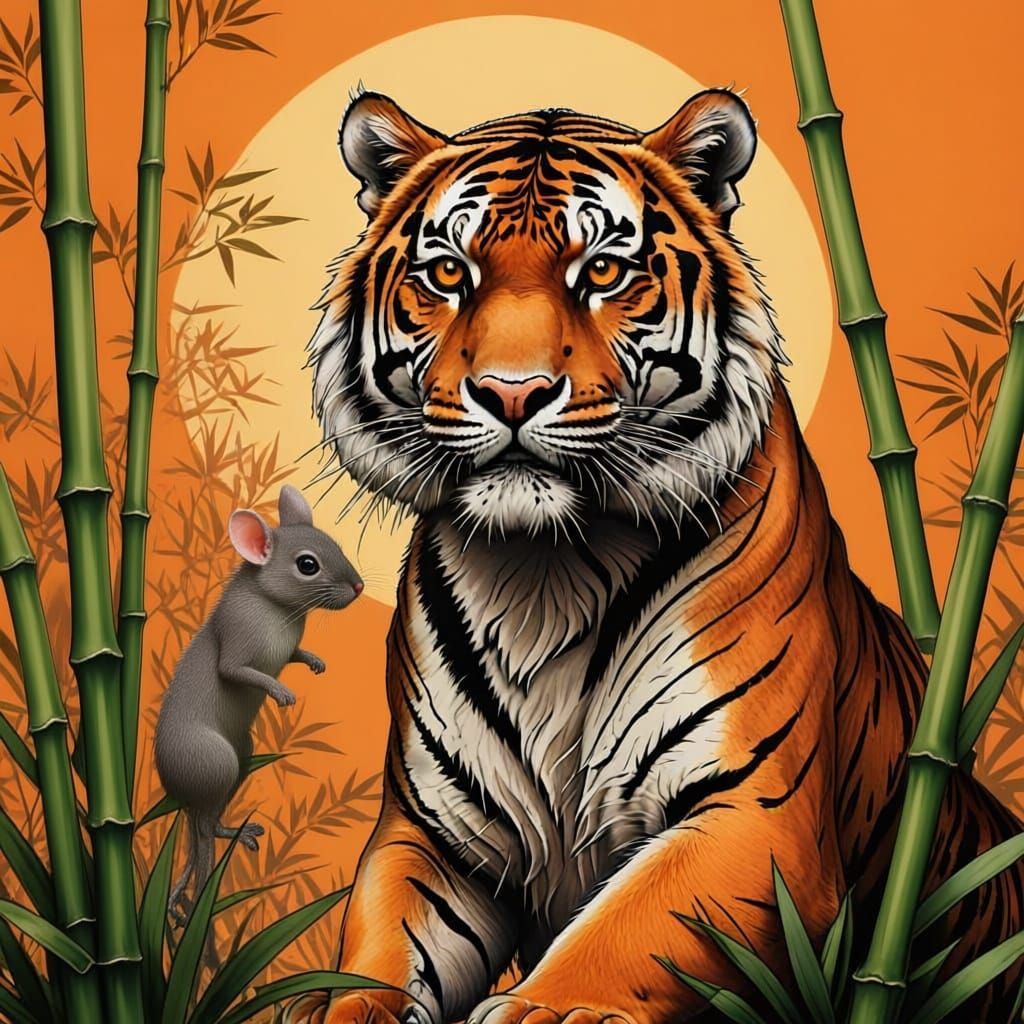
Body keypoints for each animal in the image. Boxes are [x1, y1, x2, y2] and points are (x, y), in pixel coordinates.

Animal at [286, 88, 1024, 1024]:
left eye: (603, 272)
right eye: (450, 275)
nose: (513, 393)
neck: (542, 576)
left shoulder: (756, 812)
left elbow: (625, 926)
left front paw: (542, 1007)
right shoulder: (433, 835)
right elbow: (377, 957)